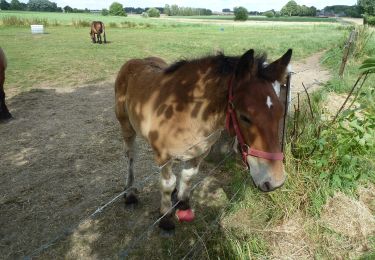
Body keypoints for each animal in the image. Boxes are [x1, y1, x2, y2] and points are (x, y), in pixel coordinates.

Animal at [116, 48, 292, 232]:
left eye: (281, 112)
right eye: (245, 117)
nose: (275, 181)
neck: (185, 112)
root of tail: (136, 61)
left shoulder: (199, 152)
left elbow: (188, 176)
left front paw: (182, 204)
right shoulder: (163, 156)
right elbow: (167, 183)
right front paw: (165, 218)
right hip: (126, 127)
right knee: (130, 156)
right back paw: (129, 193)